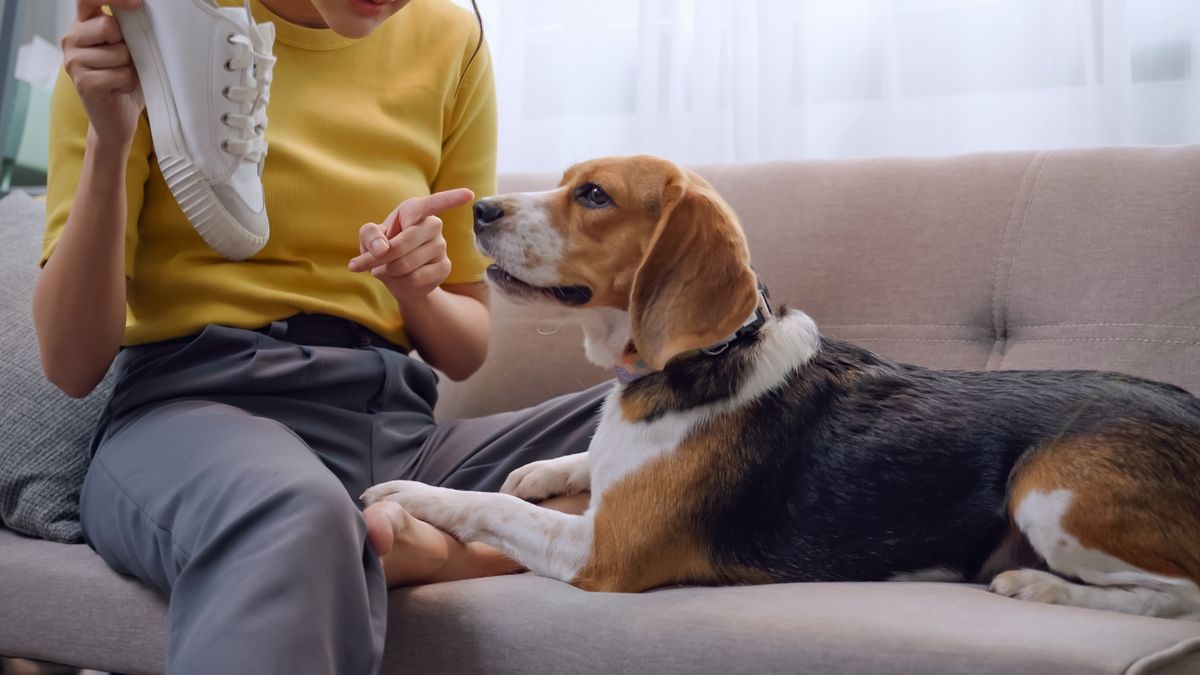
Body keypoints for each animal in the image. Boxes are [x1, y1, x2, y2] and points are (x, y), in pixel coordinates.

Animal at [362, 154, 1200, 619]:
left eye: (593, 195)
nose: (480, 207)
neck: (695, 359)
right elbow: (565, 466)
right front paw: (544, 467)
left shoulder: (601, 551)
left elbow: (488, 505)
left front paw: (409, 494)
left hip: (1047, 491)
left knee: (1178, 595)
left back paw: (1039, 588)